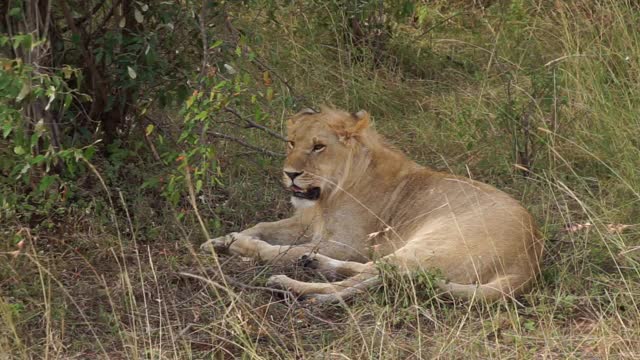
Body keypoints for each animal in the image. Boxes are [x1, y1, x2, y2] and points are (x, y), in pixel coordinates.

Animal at [201, 105, 544, 302]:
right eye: (291, 143)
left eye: (319, 147)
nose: (291, 174)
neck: (330, 193)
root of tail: (528, 262)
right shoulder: (308, 223)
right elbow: (263, 226)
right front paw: (220, 240)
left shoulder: (347, 243)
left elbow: (278, 250)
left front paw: (239, 245)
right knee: (373, 271)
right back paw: (314, 265)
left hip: (430, 244)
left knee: (370, 279)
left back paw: (292, 286)